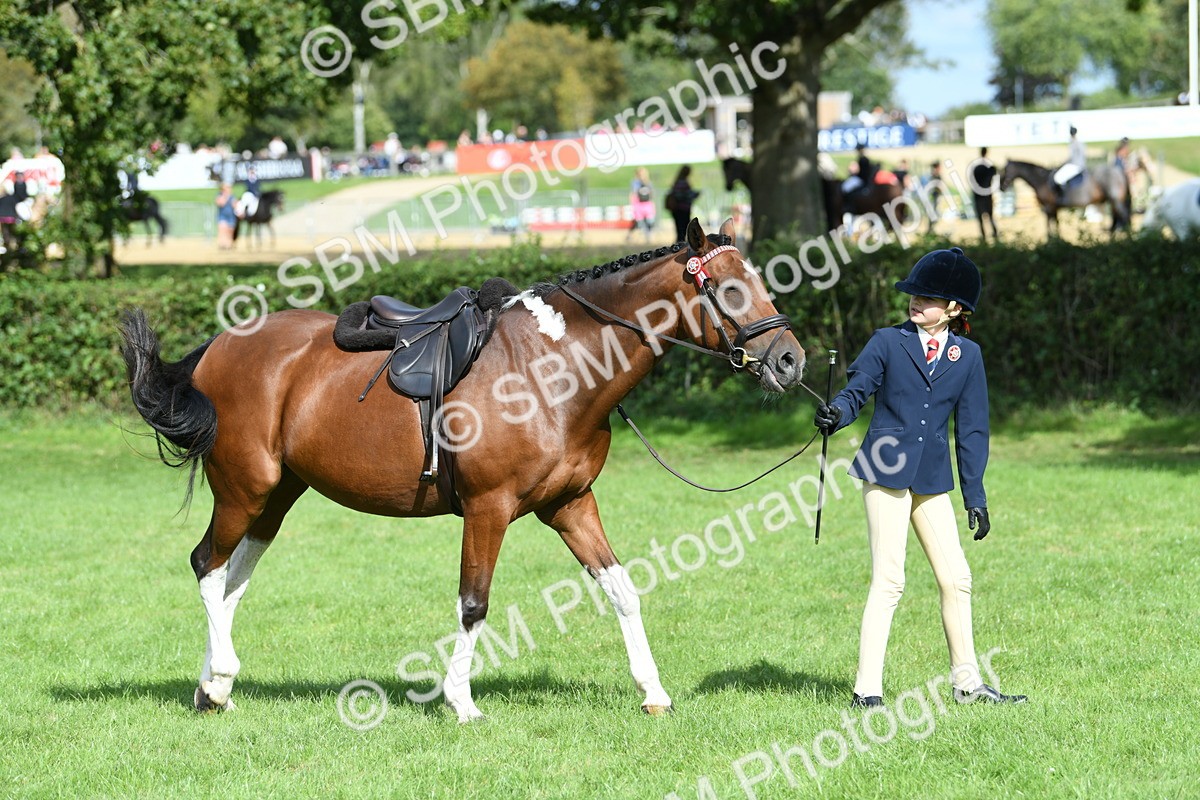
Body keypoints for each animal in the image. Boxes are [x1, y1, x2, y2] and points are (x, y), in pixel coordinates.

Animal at [119, 218, 807, 721]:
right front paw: (462, 702)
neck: (554, 368)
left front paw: (653, 692)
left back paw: (213, 688)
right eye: (729, 288)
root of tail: (219, 346)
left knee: (233, 580)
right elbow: (474, 603)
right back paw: (220, 676)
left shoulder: (572, 503)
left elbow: (622, 589)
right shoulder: (488, 508)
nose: (790, 360)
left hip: (277, 496)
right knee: (207, 566)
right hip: (245, 488)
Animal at [999, 160, 1130, 237]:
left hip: (1116, 201)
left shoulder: (1048, 207)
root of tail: (1118, 171)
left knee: (1123, 218)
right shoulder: (1054, 208)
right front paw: (1058, 239)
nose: (1001, 187)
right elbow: (1056, 223)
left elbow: (1049, 224)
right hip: (1113, 202)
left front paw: (1051, 240)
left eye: (1005, 170)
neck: (1041, 181)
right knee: (1116, 221)